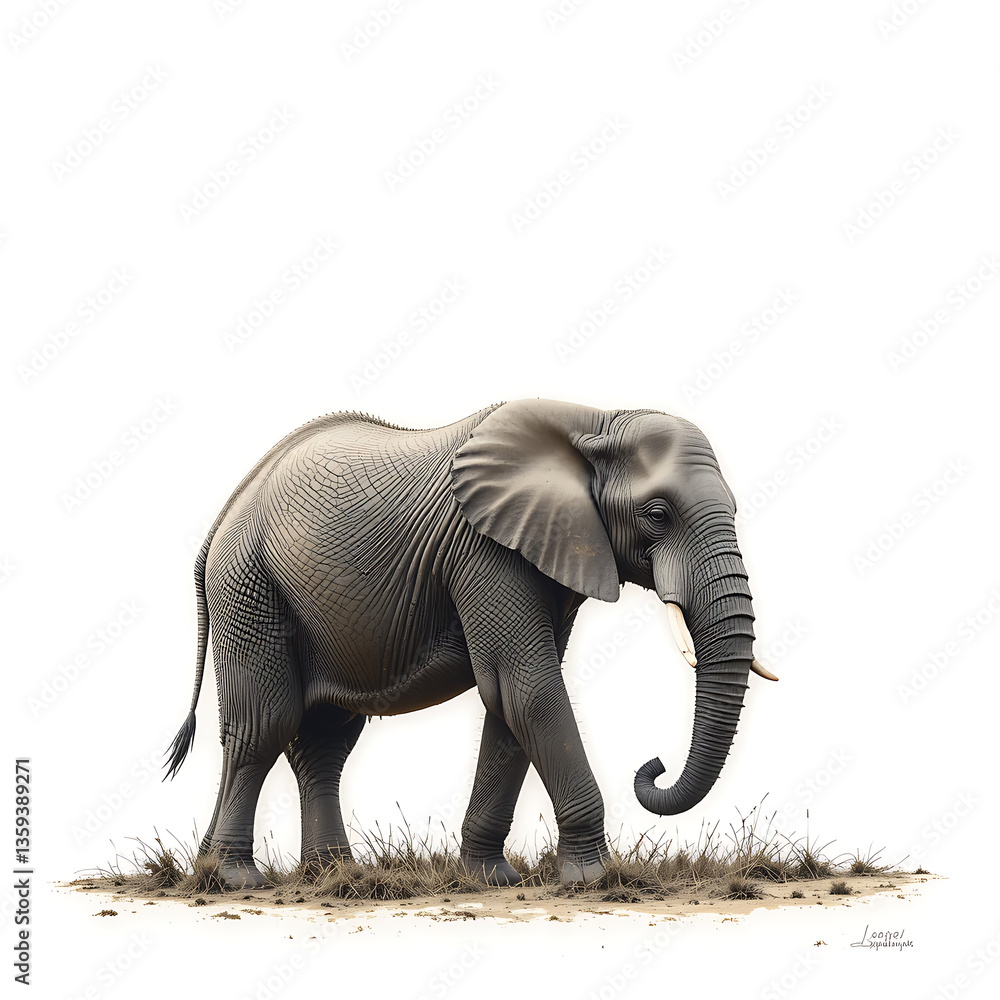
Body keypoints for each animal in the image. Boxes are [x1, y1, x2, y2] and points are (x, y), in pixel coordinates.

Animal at [164, 398, 776, 889]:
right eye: (657, 514)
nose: (653, 764)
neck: (593, 419)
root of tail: (221, 519)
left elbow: (508, 701)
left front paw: (490, 878)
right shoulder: (486, 550)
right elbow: (530, 689)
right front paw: (594, 878)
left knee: (322, 740)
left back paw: (330, 876)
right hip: (248, 589)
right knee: (264, 726)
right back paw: (239, 879)